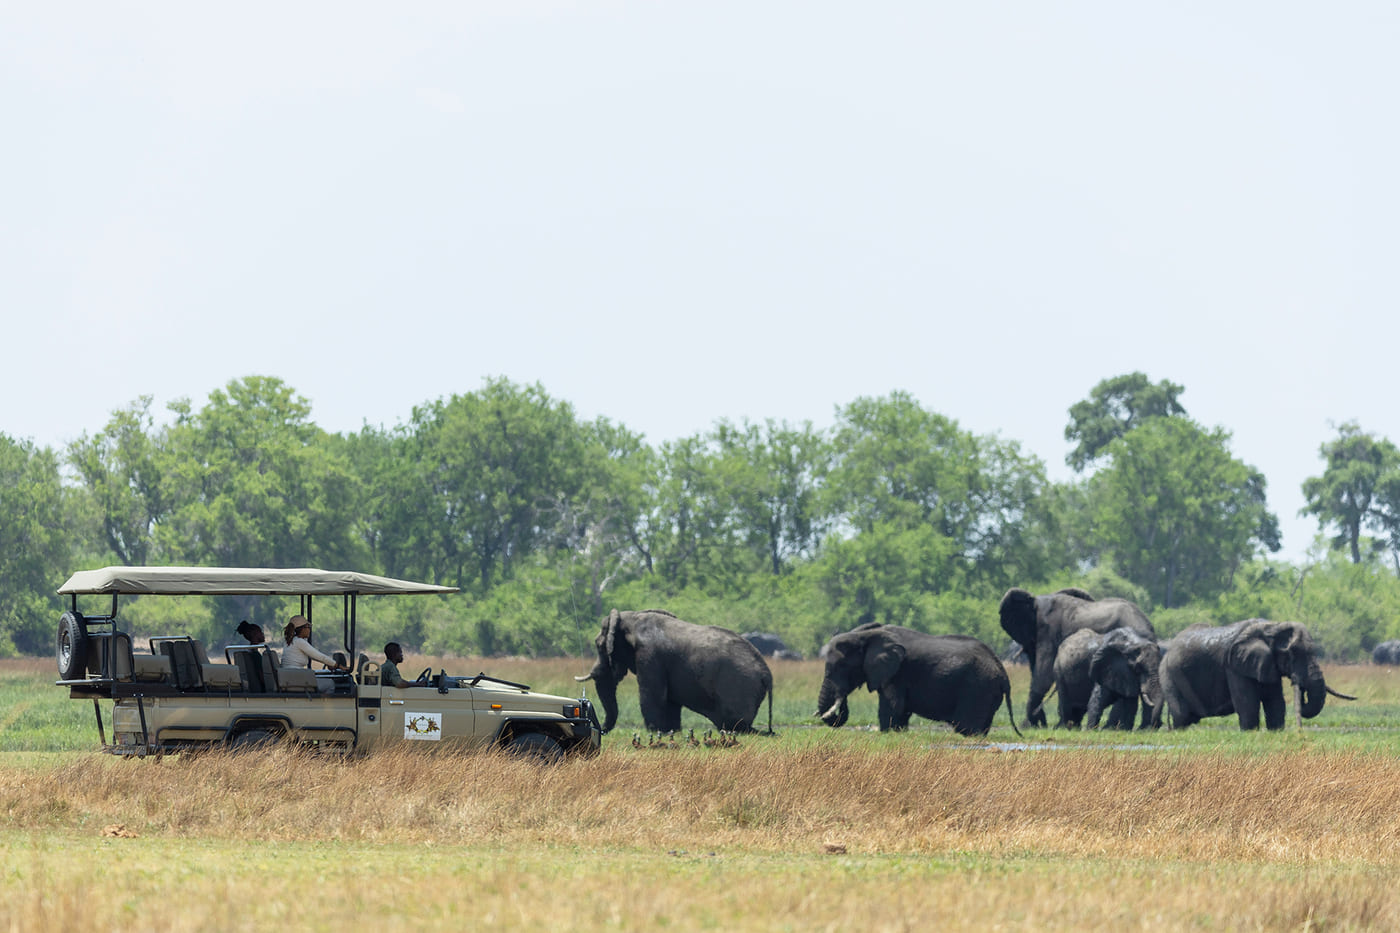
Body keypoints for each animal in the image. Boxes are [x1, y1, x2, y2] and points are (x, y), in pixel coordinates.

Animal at [576, 609, 773, 734]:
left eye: (599, 645)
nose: (601, 730)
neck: (633, 618)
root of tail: (767, 674)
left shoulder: (650, 656)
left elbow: (652, 696)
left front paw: (655, 731)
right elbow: (670, 700)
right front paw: (673, 731)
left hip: (739, 688)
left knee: (735, 724)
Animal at [815, 623, 1021, 737]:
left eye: (841, 667)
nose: (841, 697)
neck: (865, 635)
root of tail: (1003, 671)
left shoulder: (898, 673)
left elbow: (892, 705)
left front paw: (887, 732)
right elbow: (901, 708)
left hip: (978, 688)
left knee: (966, 727)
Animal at [1159, 619, 1356, 730]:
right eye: (1292, 654)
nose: (1299, 685)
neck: (1272, 627)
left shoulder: (1267, 664)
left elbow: (1275, 702)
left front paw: (1276, 731)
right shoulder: (1234, 666)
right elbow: (1248, 704)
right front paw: (1249, 732)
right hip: (1169, 674)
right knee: (1181, 715)